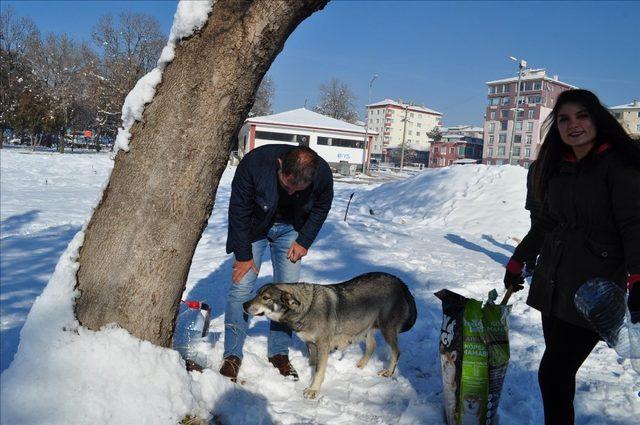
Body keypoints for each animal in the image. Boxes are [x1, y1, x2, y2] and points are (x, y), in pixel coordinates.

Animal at [242, 272, 418, 398]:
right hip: (365, 327)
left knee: (396, 351)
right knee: (372, 345)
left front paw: (313, 390)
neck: (307, 309)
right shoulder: (311, 344)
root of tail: (399, 281)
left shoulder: (323, 346)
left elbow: (320, 371)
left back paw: (388, 372)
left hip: (387, 329)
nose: (244, 304)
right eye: (256, 294)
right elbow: (314, 364)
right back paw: (360, 365)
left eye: (265, 298)